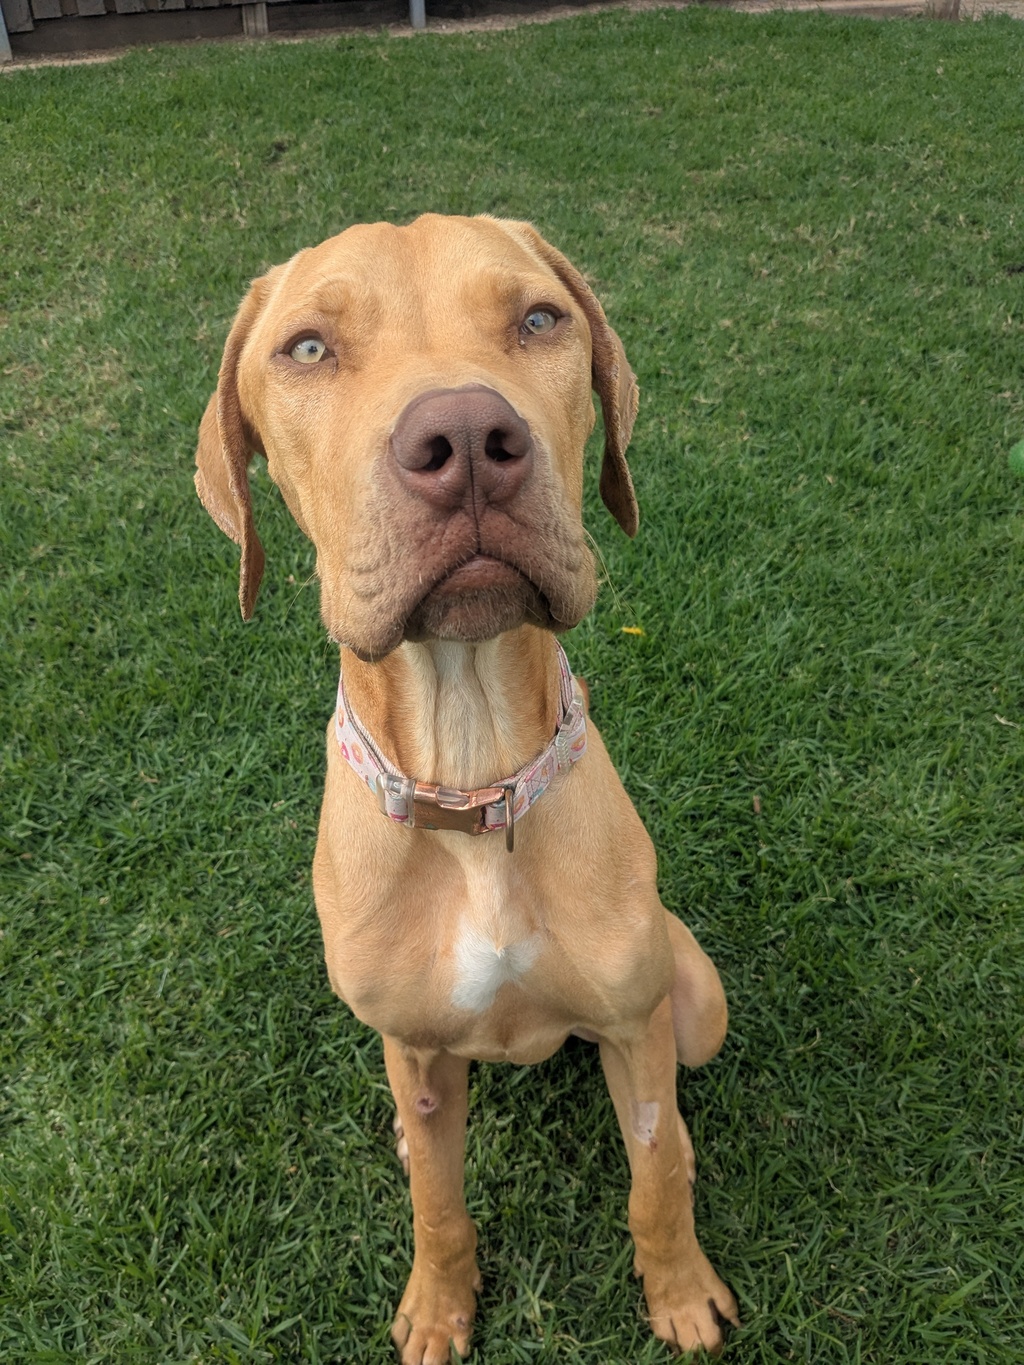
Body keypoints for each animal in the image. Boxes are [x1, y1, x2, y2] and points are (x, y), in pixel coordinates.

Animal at [195, 214, 739, 1362]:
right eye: (307, 347)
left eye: (538, 319)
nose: (467, 441)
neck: (471, 778)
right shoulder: (416, 1051)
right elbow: (440, 1208)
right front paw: (441, 1306)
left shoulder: (636, 1027)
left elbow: (656, 1176)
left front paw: (678, 1291)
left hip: (695, 1002)